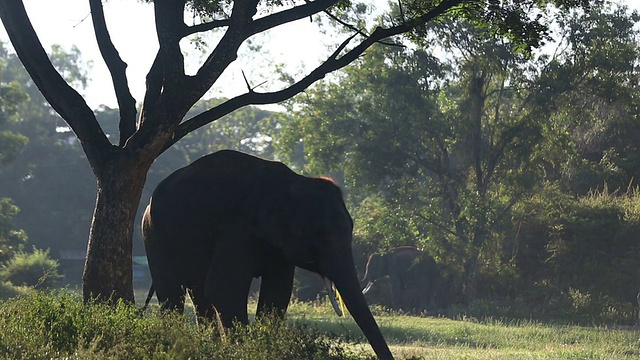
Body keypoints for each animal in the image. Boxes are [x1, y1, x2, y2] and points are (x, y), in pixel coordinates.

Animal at [144, 150, 396, 360]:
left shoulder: (277, 245)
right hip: (153, 234)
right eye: (320, 234)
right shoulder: (237, 229)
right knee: (172, 292)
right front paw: (243, 350)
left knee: (198, 293)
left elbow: (278, 291)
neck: (291, 182)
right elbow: (223, 288)